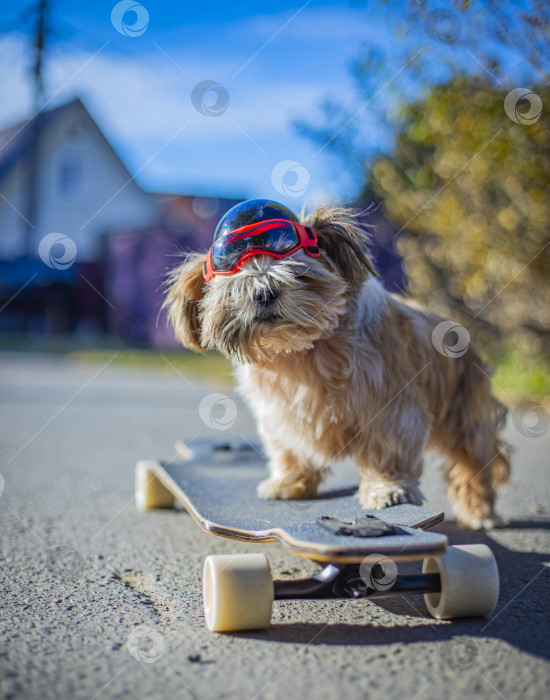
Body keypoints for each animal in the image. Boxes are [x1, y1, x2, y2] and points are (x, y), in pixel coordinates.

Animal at [164, 197, 512, 524]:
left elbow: (386, 450)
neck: (301, 352)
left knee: (472, 464)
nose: (264, 292)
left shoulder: (391, 408)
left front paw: (386, 488)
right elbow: (290, 450)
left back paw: (479, 512)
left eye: (298, 275)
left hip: (464, 416)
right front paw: (289, 481)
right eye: (239, 285)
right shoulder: (279, 415)